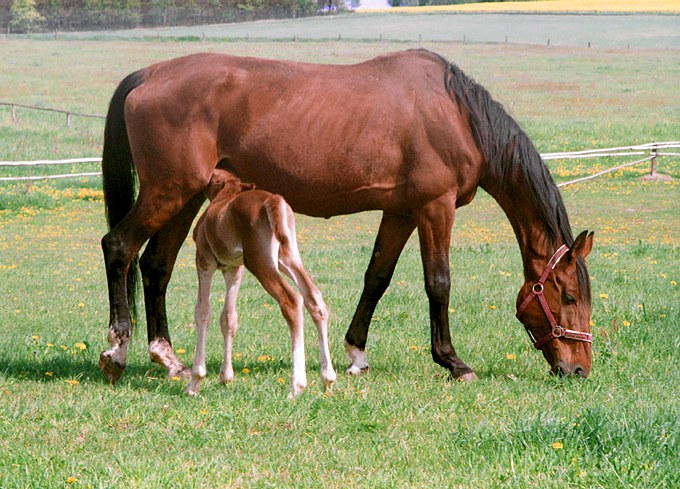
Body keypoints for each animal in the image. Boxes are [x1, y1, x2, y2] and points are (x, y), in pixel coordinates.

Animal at [187, 169, 336, 396]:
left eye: (212, 177)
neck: (225, 195)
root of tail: (273, 201)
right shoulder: (234, 269)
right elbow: (228, 317)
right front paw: (226, 377)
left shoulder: (204, 261)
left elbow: (203, 311)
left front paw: (195, 380)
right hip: (287, 257)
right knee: (314, 298)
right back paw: (327, 378)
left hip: (261, 262)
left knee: (292, 300)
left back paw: (297, 385)